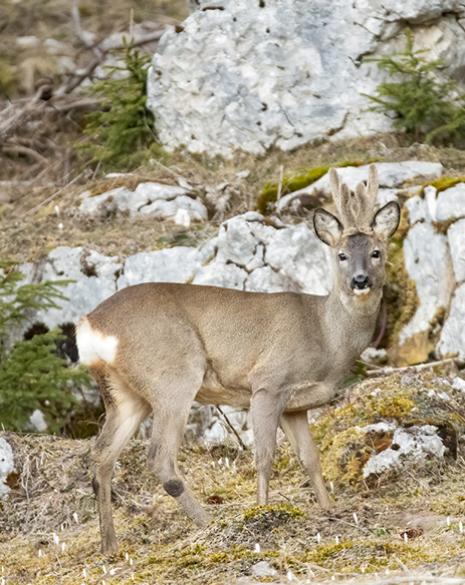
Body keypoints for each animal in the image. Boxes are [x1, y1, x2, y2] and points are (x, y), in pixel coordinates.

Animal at [76, 163, 398, 552]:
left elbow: (310, 458)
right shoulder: (268, 383)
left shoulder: (296, 405)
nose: (360, 280)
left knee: (101, 455)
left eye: (377, 251)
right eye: (342, 255)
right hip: (174, 374)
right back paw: (209, 524)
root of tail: (91, 325)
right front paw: (261, 512)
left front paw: (329, 508)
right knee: (160, 459)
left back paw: (110, 545)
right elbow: (264, 457)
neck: (326, 334)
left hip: (125, 393)